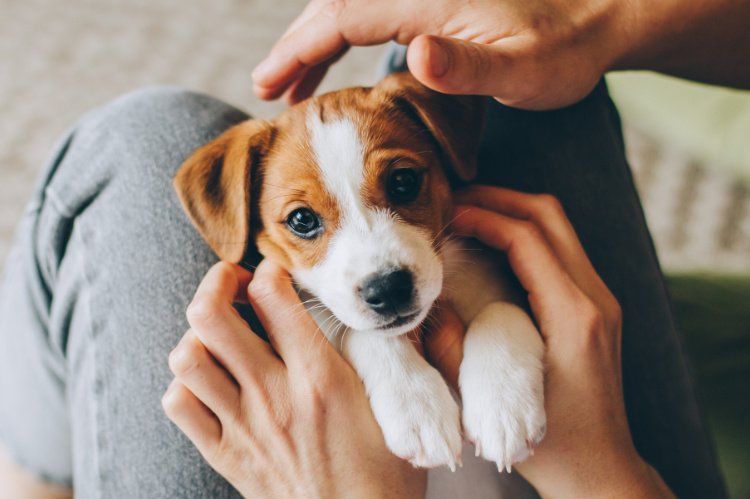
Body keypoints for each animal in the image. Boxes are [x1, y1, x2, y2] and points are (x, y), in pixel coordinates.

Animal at [175, 72, 548, 474]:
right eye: (302, 219)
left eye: (403, 181)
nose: (387, 289)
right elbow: (364, 334)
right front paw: (416, 407)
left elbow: (501, 308)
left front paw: (503, 403)